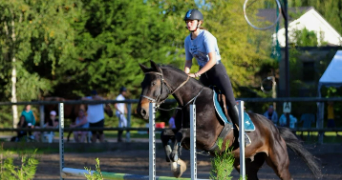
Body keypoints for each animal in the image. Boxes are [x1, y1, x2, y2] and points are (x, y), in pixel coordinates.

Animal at [136, 60, 320, 180]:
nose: (142, 111)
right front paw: (171, 158)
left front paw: (175, 159)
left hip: (279, 165)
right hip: (245, 164)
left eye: (153, 83)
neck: (192, 101)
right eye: (142, 84)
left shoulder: (207, 138)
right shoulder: (188, 137)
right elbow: (166, 133)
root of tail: (276, 130)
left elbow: (181, 133)